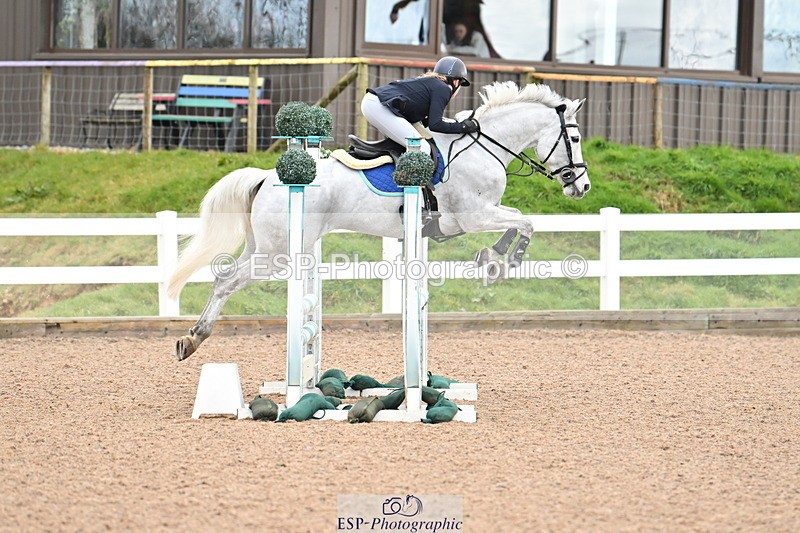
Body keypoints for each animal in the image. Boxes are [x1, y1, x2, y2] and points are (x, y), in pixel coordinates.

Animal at [167, 81, 591, 360]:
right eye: (574, 138)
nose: (582, 186)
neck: (483, 147)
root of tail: (266, 176)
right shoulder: (472, 217)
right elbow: (526, 222)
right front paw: (502, 261)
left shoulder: (476, 216)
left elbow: (518, 219)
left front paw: (494, 256)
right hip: (277, 254)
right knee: (227, 282)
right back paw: (194, 338)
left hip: (265, 246)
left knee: (223, 277)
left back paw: (191, 338)